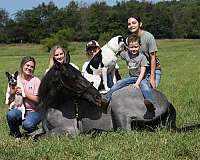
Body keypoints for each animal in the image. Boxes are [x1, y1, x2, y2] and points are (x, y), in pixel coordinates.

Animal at [33, 52, 198, 138]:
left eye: (79, 74)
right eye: (72, 77)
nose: (97, 97)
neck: (53, 106)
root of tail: (165, 101)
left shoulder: (69, 130)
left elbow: (39, 137)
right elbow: (36, 134)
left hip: (119, 110)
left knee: (124, 132)